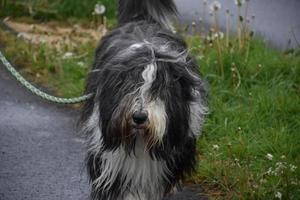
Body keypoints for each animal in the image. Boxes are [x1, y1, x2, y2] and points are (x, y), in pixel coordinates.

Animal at [81, 0, 209, 199]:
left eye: (160, 90)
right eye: (128, 87)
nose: (139, 117)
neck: (140, 139)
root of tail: (142, 20)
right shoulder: (113, 158)